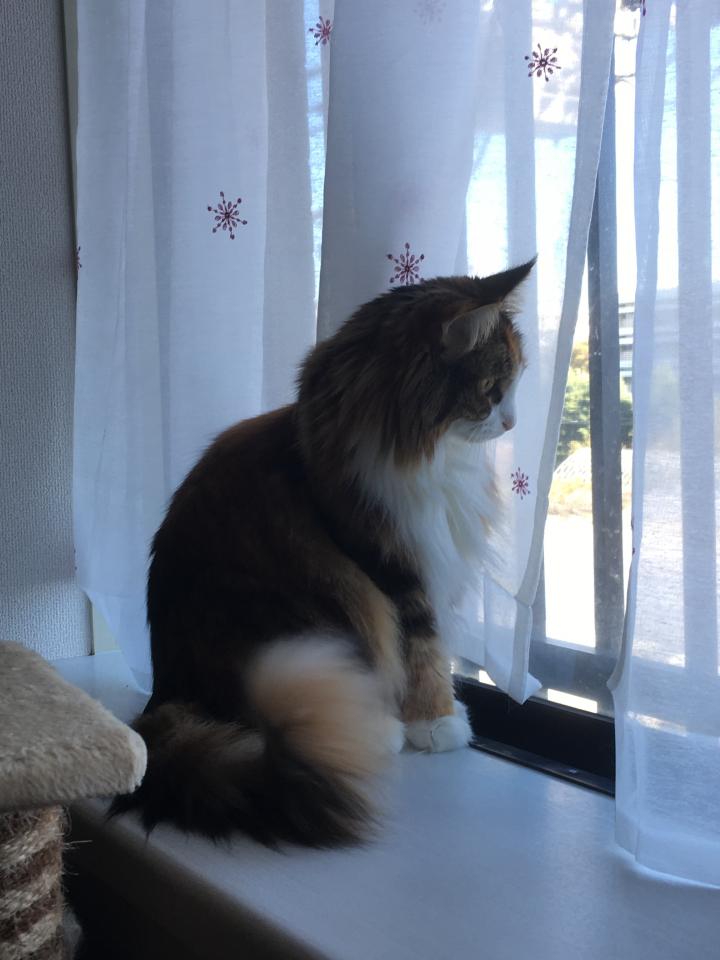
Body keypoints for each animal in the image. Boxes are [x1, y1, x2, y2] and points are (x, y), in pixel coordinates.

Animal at [111, 259, 534, 846]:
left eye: (514, 385)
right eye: (493, 389)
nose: (513, 422)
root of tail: (168, 695)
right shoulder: (393, 563)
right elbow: (425, 649)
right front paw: (438, 722)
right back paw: (375, 732)